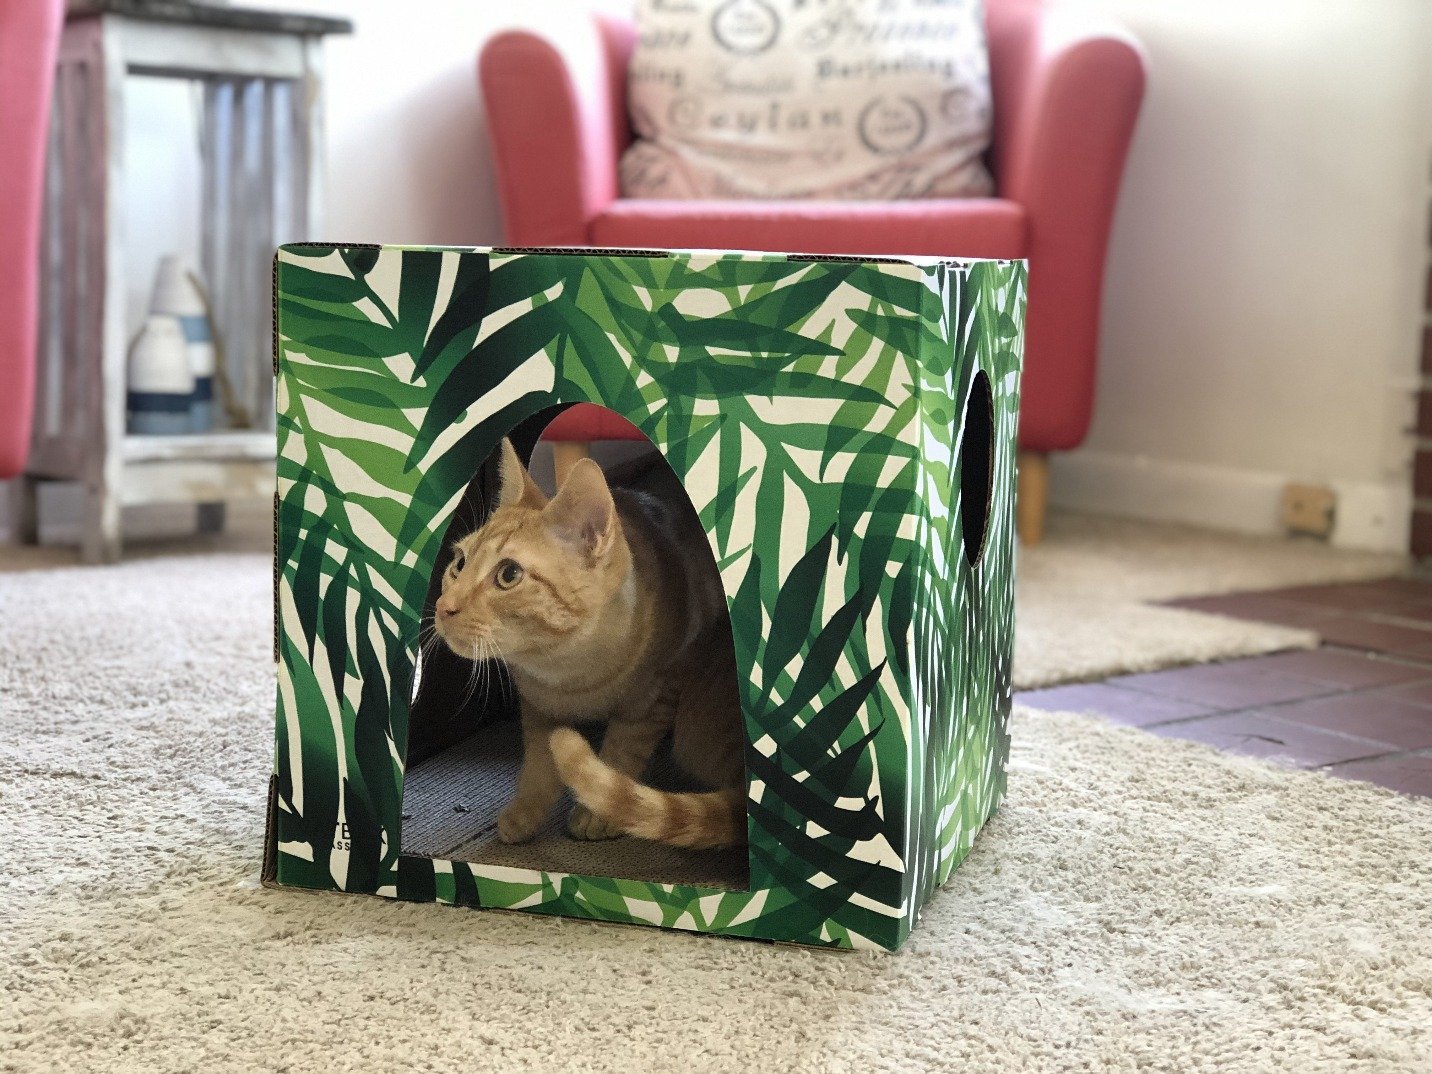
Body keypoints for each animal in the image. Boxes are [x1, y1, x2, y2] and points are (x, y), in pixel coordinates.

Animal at [432, 441, 750, 853]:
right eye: (459, 562)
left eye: (508, 575)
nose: (443, 606)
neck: (567, 671)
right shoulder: (537, 706)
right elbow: (538, 763)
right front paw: (525, 812)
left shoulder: (653, 701)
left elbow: (620, 754)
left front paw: (596, 813)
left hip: (695, 732)